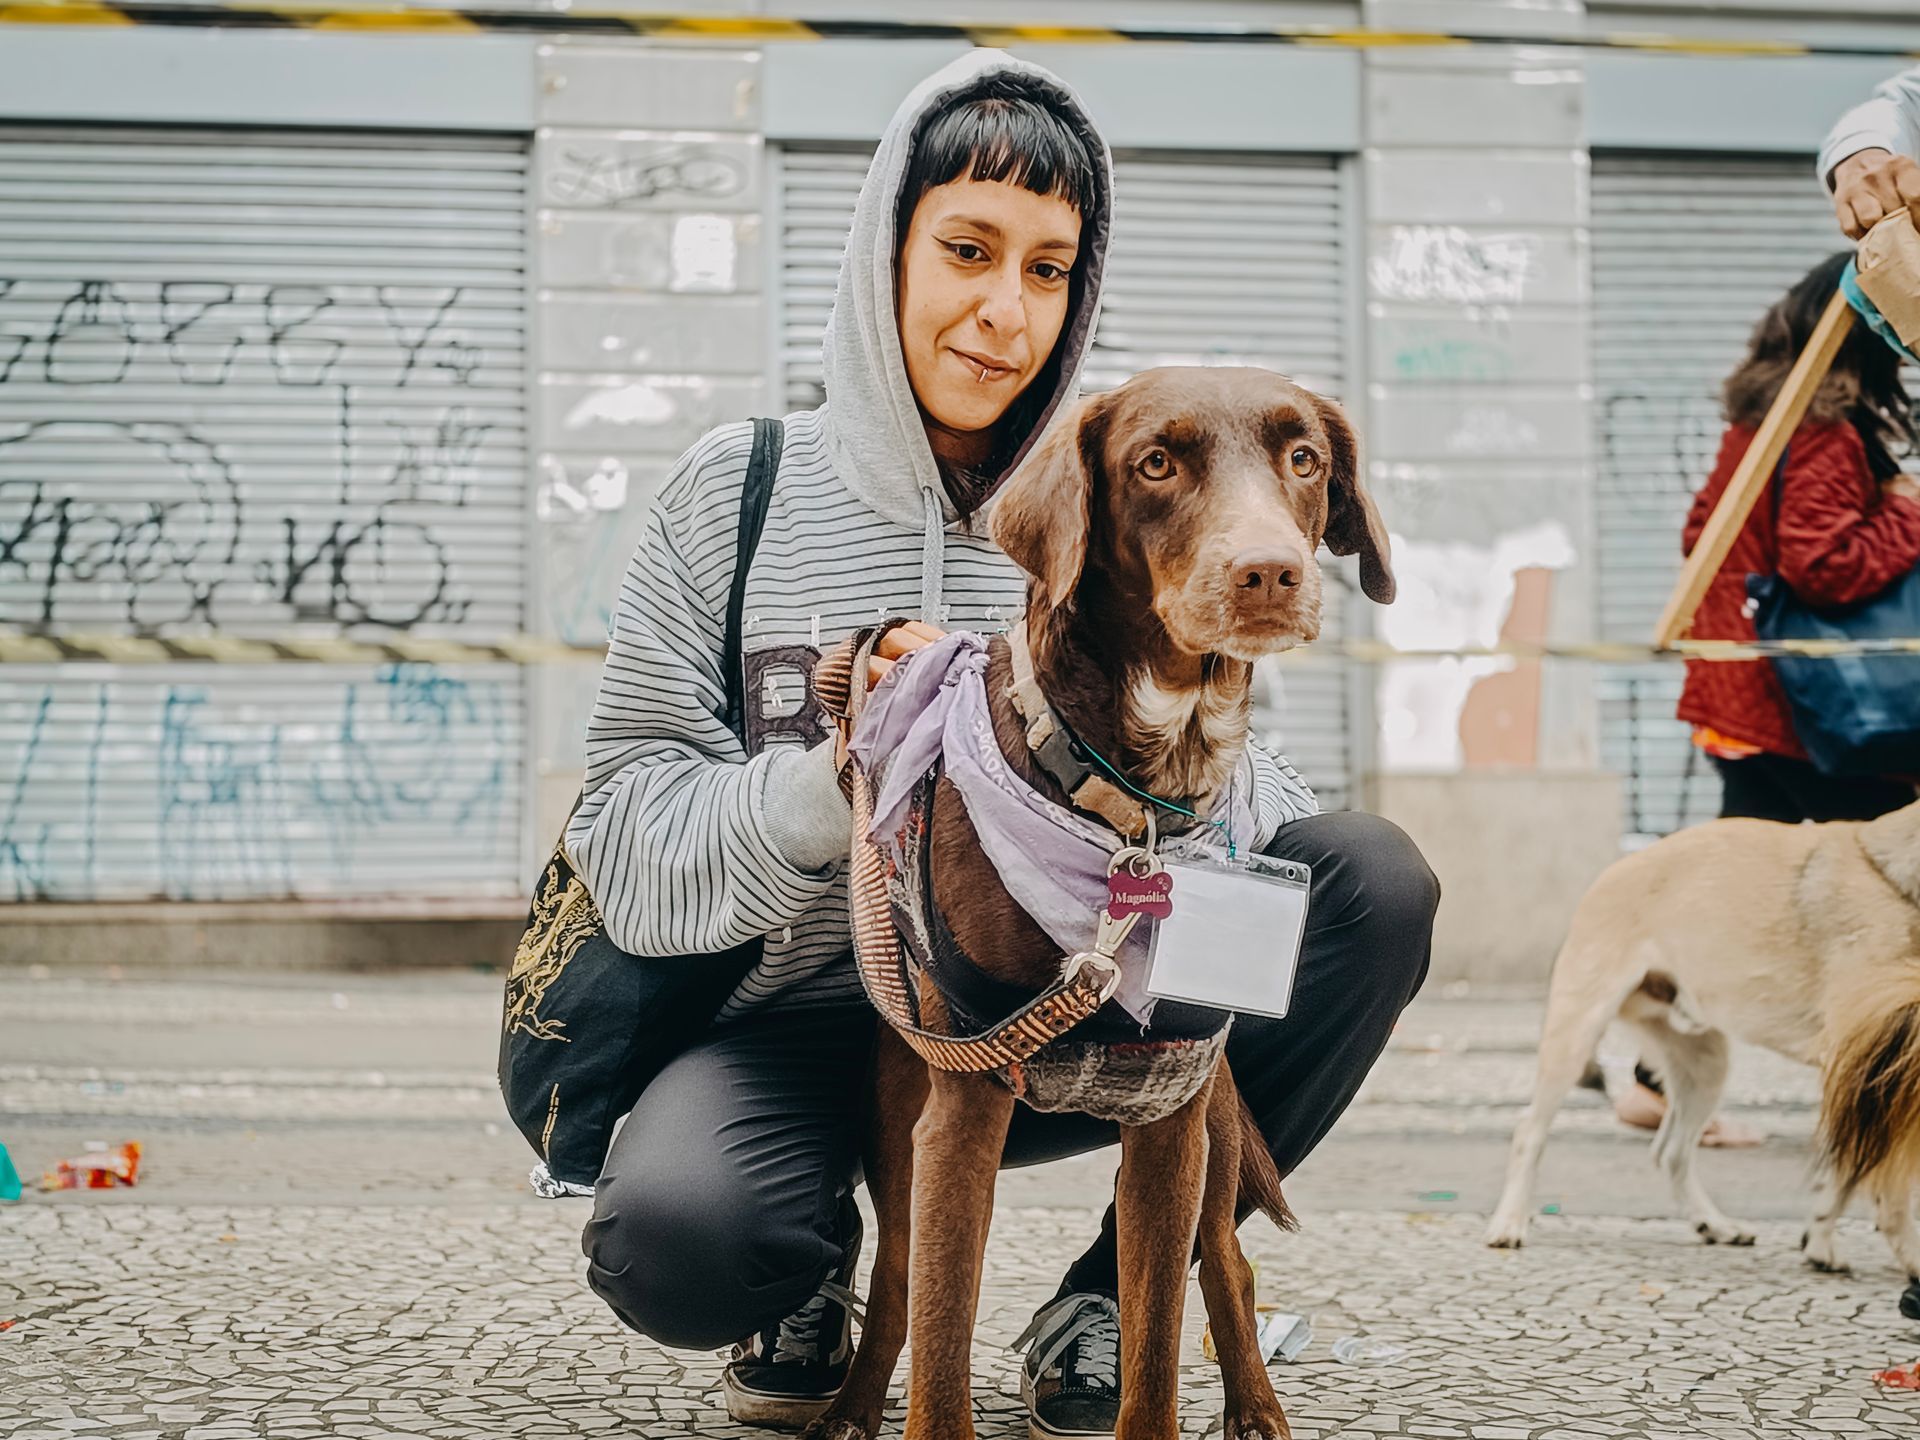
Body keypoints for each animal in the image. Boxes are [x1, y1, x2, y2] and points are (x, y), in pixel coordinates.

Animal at [1485, 800, 1920, 1320]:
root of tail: (1620, 865)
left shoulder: (1869, 1076)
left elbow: (1849, 1170)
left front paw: (1820, 1238)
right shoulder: (1881, 1070)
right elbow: (1884, 1185)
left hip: (1705, 1064)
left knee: (1672, 1151)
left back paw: (1713, 1223)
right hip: (1576, 1032)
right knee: (1530, 1130)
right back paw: (1510, 1221)